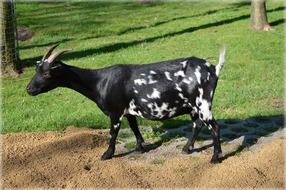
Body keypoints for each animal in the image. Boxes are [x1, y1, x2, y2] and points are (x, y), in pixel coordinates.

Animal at [27, 43, 227, 163]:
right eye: (37, 70)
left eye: (47, 73)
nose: (28, 89)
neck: (100, 81)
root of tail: (213, 69)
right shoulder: (129, 111)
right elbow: (134, 127)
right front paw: (141, 147)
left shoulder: (115, 112)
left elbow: (113, 134)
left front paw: (107, 155)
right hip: (193, 106)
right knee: (197, 124)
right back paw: (187, 148)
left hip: (203, 103)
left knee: (214, 127)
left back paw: (215, 157)